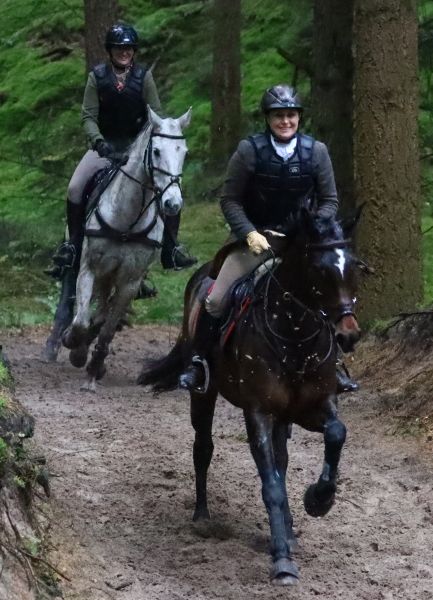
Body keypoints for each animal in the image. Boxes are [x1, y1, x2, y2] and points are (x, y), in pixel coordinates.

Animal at [61, 106, 191, 391]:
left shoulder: (130, 281)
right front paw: (74, 345)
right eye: (156, 151)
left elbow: (107, 328)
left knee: (104, 313)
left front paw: (93, 368)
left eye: (184, 152)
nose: (173, 204)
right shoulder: (89, 268)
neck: (127, 218)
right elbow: (80, 321)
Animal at [138, 210, 361, 585]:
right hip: (204, 394)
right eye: (319, 269)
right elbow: (270, 484)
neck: (294, 337)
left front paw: (318, 500)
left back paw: (289, 527)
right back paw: (203, 516)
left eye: (355, 266)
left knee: (282, 459)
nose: (349, 335)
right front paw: (282, 560)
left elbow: (335, 433)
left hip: (284, 417)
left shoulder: (314, 406)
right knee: (203, 448)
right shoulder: (258, 412)